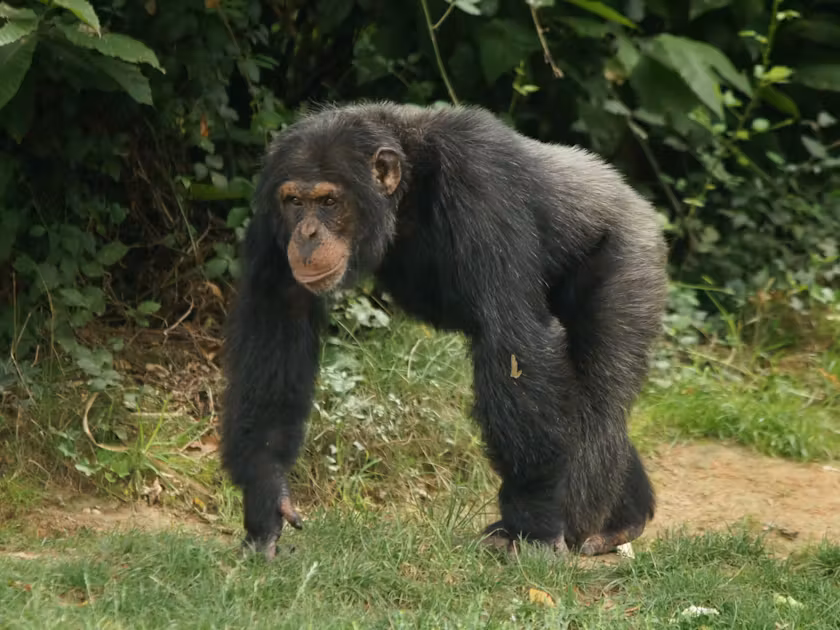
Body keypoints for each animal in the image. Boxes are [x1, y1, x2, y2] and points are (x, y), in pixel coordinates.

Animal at [220, 101, 668, 560]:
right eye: (294, 200)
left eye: (328, 201)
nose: (307, 233)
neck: (407, 189)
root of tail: (633, 197)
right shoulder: (270, 218)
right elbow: (277, 322)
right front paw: (266, 495)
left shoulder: (481, 185)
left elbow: (511, 337)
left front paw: (537, 523)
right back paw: (622, 518)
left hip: (628, 259)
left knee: (600, 396)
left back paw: (587, 524)